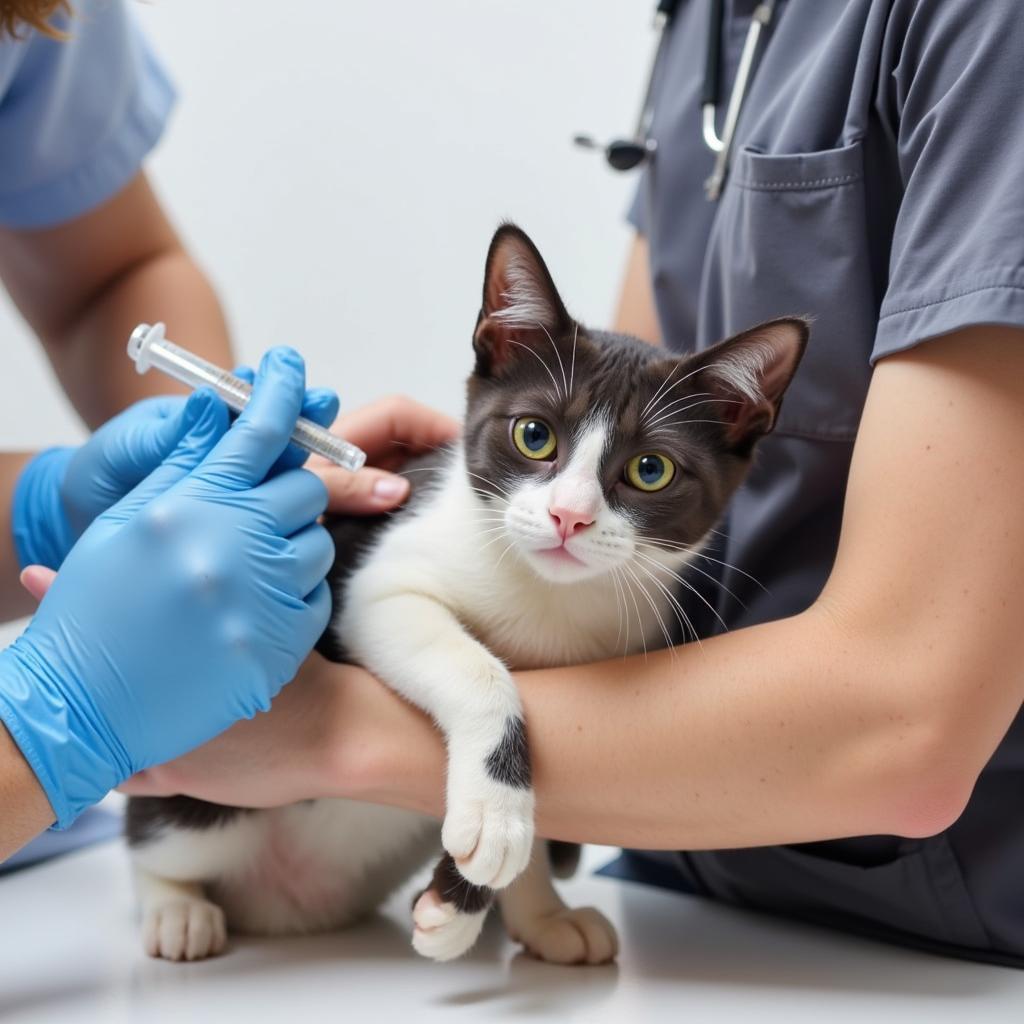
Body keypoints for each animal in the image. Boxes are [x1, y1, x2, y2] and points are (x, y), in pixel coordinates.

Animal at [125, 226, 806, 966]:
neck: (551, 602)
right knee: (159, 839)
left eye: (650, 470)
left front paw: (516, 906)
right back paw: (174, 908)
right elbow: (476, 668)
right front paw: (497, 823)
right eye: (534, 435)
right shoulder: (379, 586)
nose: (569, 517)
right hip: (203, 812)